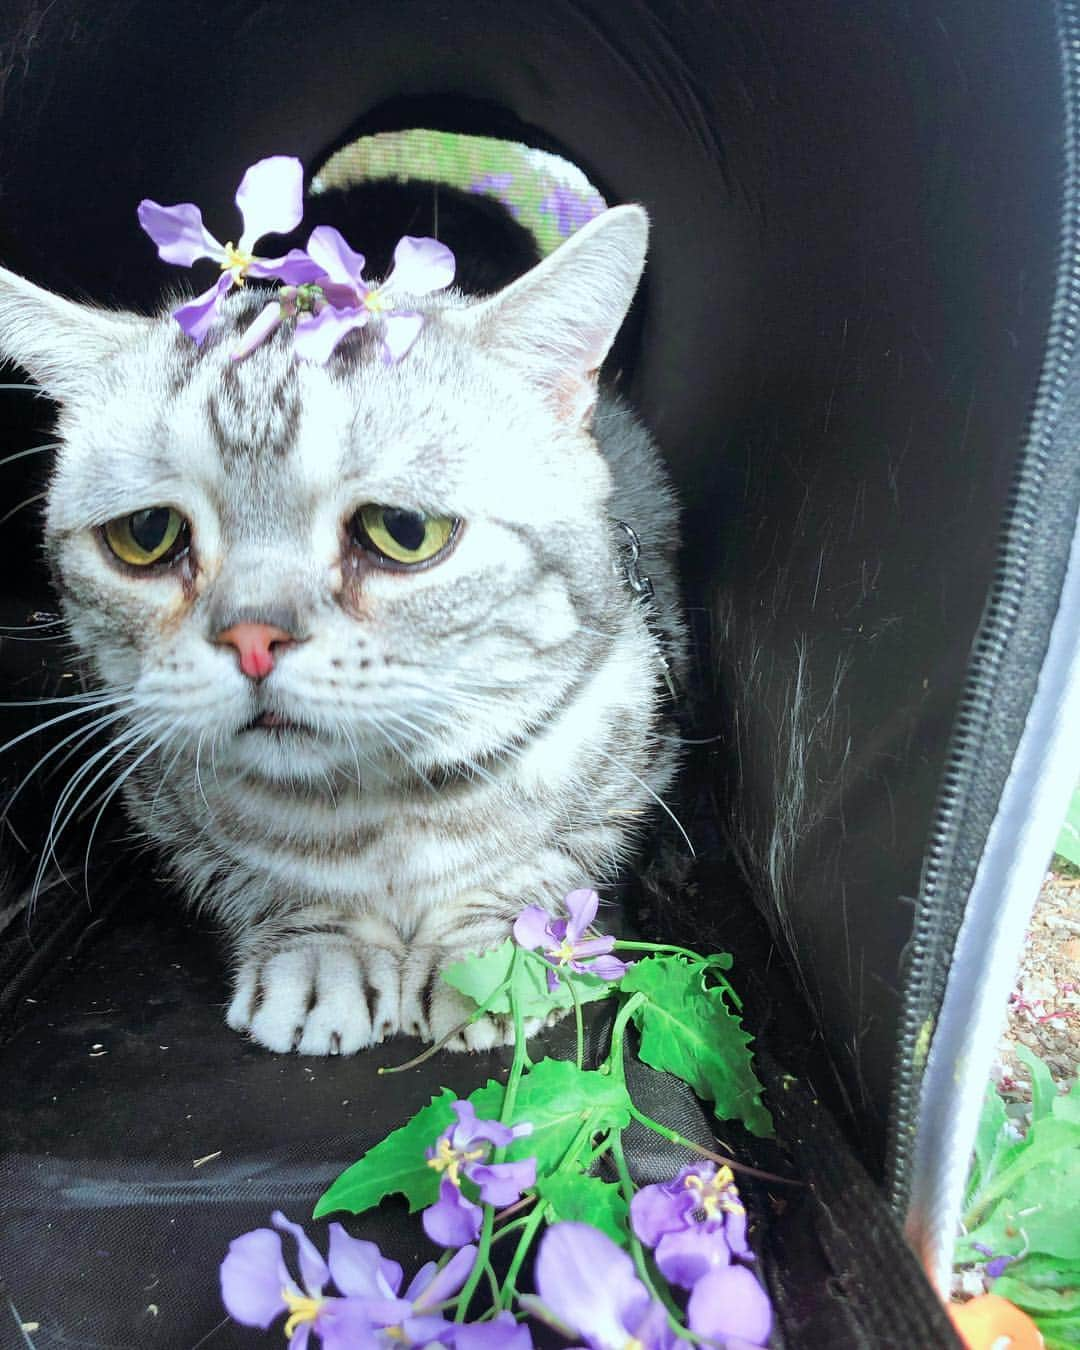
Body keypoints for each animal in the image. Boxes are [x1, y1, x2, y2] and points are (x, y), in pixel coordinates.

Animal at [0, 207, 683, 1053]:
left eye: (404, 530)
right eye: (148, 534)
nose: (253, 637)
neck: (372, 811)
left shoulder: (627, 769)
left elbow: (534, 867)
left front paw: (490, 955)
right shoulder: (167, 811)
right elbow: (272, 883)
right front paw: (321, 950)